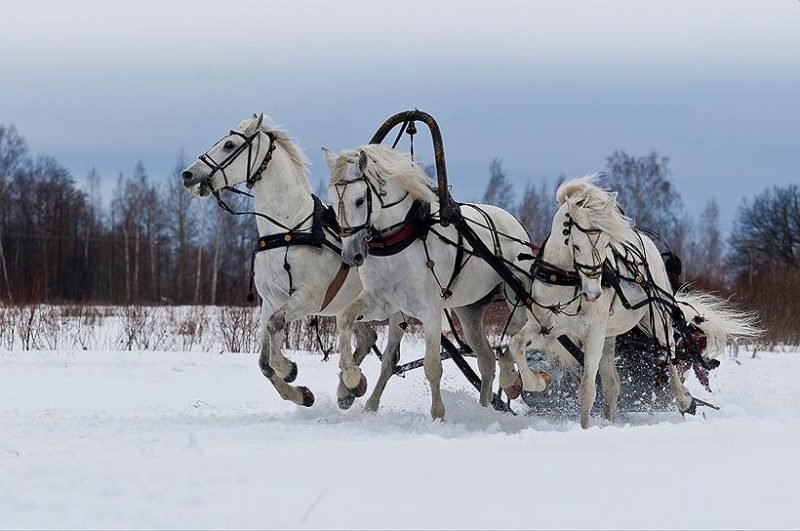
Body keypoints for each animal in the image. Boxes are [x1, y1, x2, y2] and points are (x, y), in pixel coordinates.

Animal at [183, 114, 406, 410]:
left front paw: (288, 368)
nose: (188, 174)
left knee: (390, 358)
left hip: (396, 309)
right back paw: (349, 389)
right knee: (368, 338)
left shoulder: (308, 298)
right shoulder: (270, 300)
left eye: (229, 145)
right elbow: (264, 361)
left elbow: (275, 327)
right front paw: (301, 394)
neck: (287, 229)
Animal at [322, 145, 548, 420]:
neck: (399, 238)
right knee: (486, 360)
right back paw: (484, 409)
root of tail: (516, 225)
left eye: (359, 200)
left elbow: (432, 366)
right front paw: (354, 382)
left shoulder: (429, 311)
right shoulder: (382, 303)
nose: (351, 255)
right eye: (333, 202)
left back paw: (512, 380)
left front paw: (438, 414)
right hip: (469, 311)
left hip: (515, 297)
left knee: (513, 338)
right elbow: (349, 322)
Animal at [510, 177, 760, 430]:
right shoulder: (548, 327)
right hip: (609, 336)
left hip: (658, 320)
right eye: (577, 245)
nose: (594, 293)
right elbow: (516, 344)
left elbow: (587, 388)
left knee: (670, 356)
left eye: (606, 245)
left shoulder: (594, 332)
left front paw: (584, 429)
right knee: (612, 384)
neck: (565, 279)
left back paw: (683, 399)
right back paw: (610, 420)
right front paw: (536, 382)